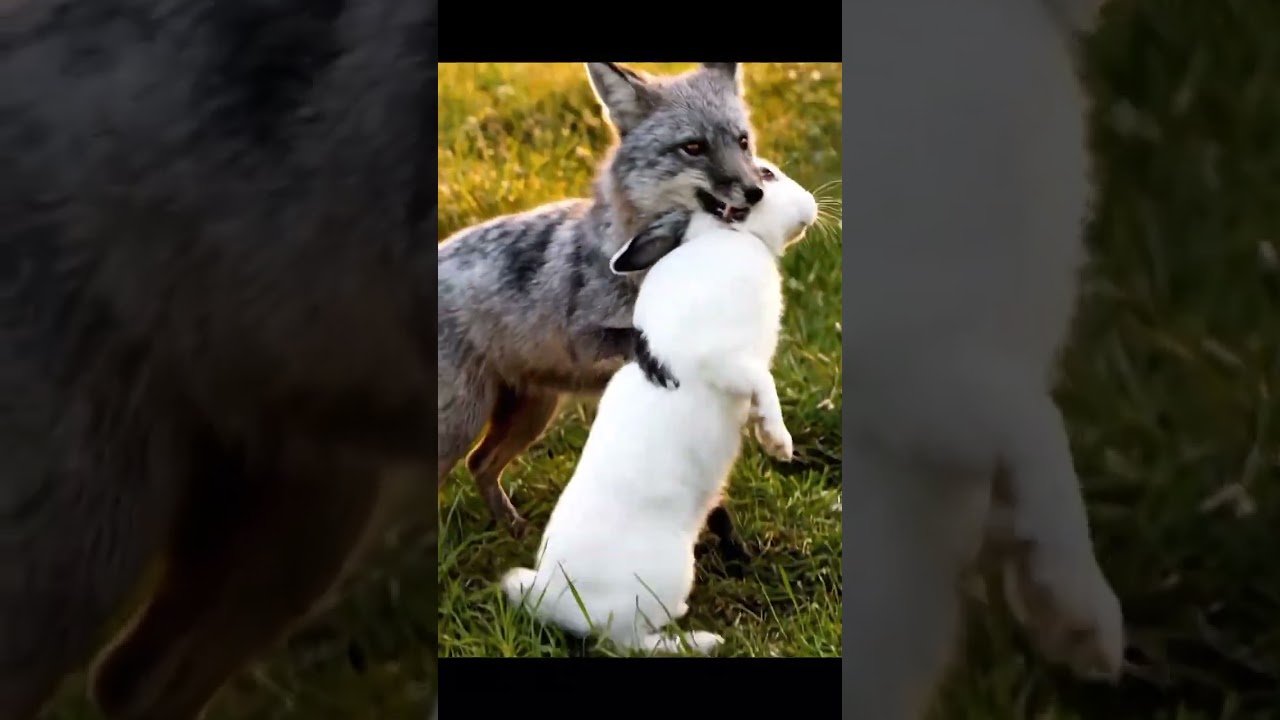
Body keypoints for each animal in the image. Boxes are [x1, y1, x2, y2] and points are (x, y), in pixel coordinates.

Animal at [438, 62, 765, 558]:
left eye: (742, 141)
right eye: (693, 147)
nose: (755, 190)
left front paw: (733, 550)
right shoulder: (585, 340)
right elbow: (631, 338)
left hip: (532, 413)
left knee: (481, 464)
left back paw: (515, 531)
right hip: (463, 421)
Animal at [500, 158, 817, 655]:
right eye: (765, 176)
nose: (812, 206)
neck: (727, 238)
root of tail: (561, 602)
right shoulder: (726, 360)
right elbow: (763, 385)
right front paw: (778, 442)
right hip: (665, 578)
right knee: (629, 642)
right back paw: (702, 639)